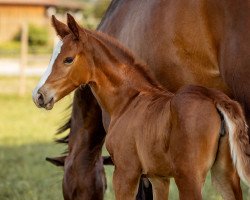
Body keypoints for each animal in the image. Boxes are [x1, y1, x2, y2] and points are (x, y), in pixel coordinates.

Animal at [33, 13, 250, 198]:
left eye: (68, 59)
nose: (39, 95)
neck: (128, 101)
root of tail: (215, 98)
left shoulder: (125, 173)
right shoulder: (158, 178)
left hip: (189, 179)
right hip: (225, 175)